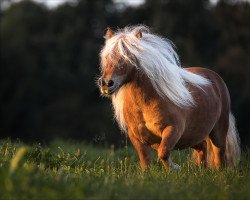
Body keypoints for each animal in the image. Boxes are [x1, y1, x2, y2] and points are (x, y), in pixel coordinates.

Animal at [97, 25, 240, 170]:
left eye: (128, 57)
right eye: (106, 57)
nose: (106, 83)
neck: (145, 104)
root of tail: (215, 78)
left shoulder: (173, 130)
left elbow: (163, 152)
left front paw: (175, 168)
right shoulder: (137, 137)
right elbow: (145, 161)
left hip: (217, 133)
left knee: (219, 157)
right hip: (191, 137)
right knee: (203, 147)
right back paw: (201, 171)